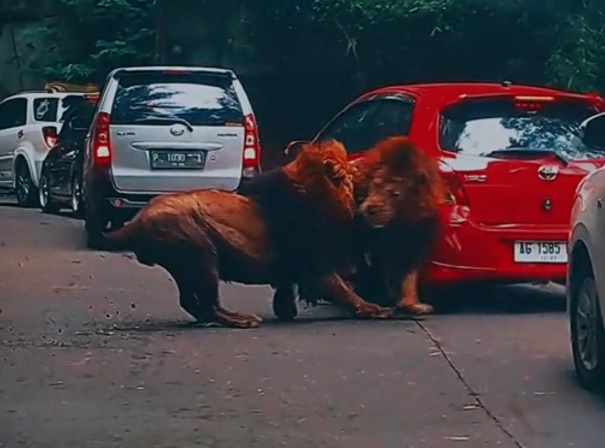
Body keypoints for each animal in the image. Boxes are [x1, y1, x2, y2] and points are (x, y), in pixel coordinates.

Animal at [102, 142, 392, 328]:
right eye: (353, 173)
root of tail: (138, 221)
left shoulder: (293, 267)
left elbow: (286, 288)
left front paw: (285, 311)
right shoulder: (315, 266)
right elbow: (343, 290)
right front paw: (375, 309)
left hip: (188, 266)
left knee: (193, 303)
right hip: (202, 256)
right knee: (208, 305)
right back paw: (242, 320)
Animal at [272, 136, 446, 318]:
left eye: (394, 193)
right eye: (375, 185)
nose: (371, 208)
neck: (394, 223)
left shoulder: (414, 239)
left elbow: (408, 278)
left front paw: (411, 304)